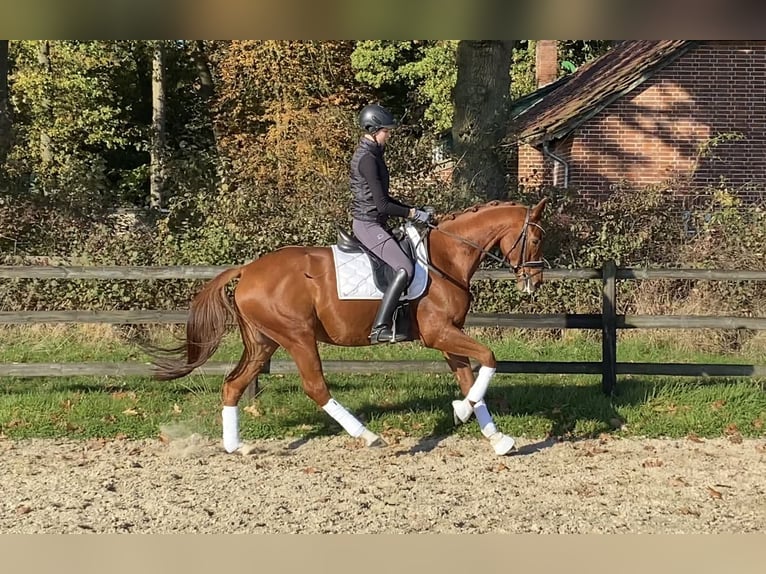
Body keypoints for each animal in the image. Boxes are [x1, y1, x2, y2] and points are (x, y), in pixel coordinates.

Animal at [152, 199, 544, 460]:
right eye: (538, 238)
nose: (535, 282)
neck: (446, 258)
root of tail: (247, 269)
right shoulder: (438, 334)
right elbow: (489, 358)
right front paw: (463, 412)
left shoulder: (449, 336)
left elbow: (469, 379)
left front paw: (495, 436)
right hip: (297, 337)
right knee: (315, 388)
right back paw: (369, 436)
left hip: (264, 342)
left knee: (233, 384)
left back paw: (237, 446)